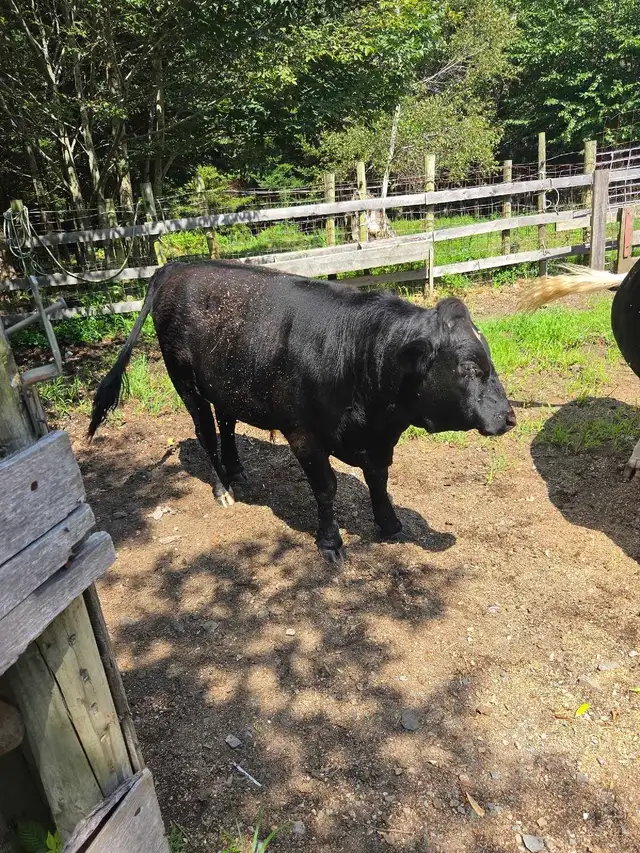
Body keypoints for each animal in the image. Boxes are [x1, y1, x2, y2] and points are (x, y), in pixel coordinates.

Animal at [89, 261, 515, 562]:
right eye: (468, 368)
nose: (509, 418)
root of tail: (176, 265)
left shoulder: (378, 441)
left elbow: (379, 480)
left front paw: (390, 523)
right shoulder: (304, 436)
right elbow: (326, 488)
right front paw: (330, 543)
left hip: (228, 384)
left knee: (227, 424)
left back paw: (238, 470)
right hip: (186, 382)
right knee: (206, 431)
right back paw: (223, 488)